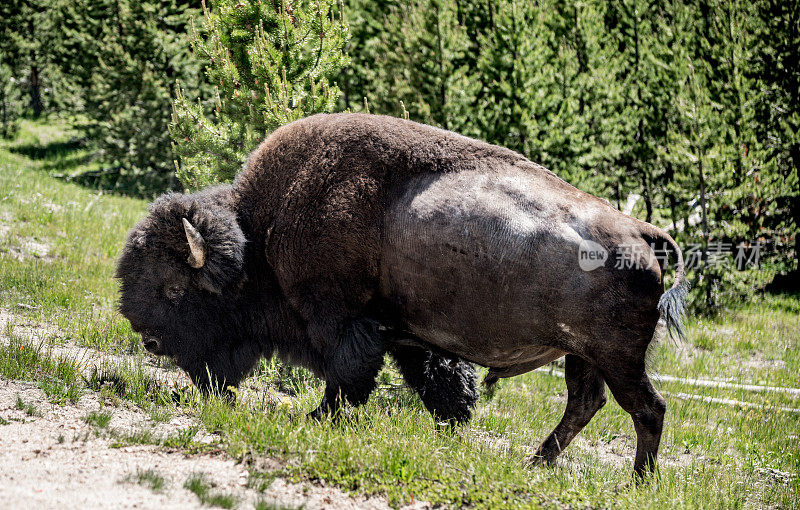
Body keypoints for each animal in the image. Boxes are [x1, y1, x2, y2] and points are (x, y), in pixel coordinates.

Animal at [117, 112, 688, 478]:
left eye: (173, 288)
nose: (149, 340)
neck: (261, 234)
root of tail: (643, 232)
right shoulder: (408, 337)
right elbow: (437, 380)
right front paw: (450, 426)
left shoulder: (338, 319)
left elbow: (349, 371)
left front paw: (318, 419)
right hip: (583, 355)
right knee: (585, 402)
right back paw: (536, 462)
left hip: (617, 356)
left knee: (647, 408)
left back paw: (638, 481)